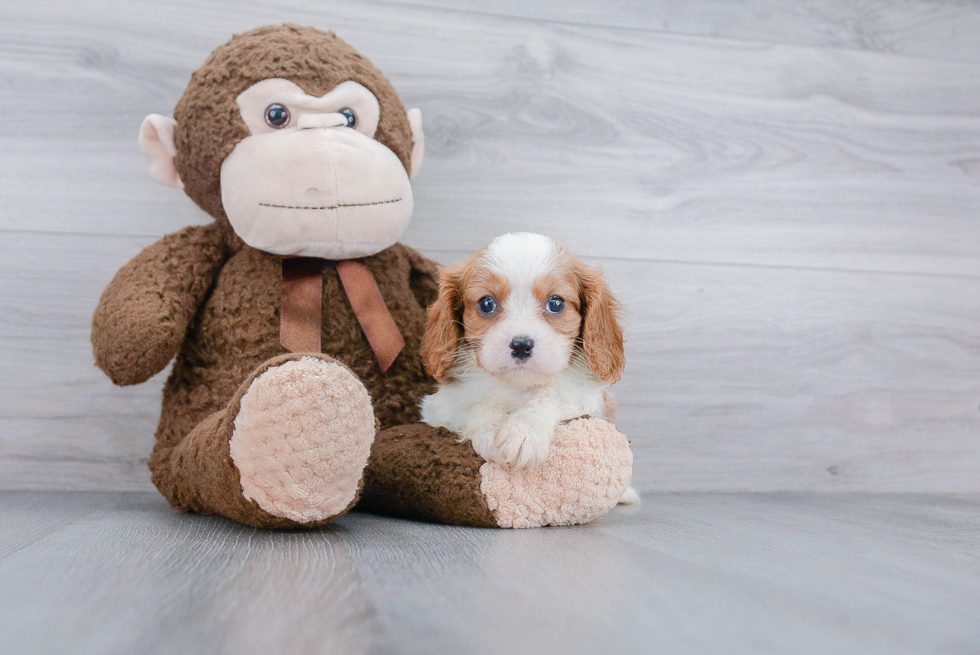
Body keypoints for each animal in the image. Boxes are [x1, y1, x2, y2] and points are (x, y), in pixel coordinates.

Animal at [420, 233, 636, 504]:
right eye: (486, 304)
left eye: (556, 303)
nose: (521, 345)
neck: (518, 386)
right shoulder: (439, 407)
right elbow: (474, 404)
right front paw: (492, 431)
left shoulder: (590, 400)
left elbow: (552, 397)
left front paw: (524, 433)